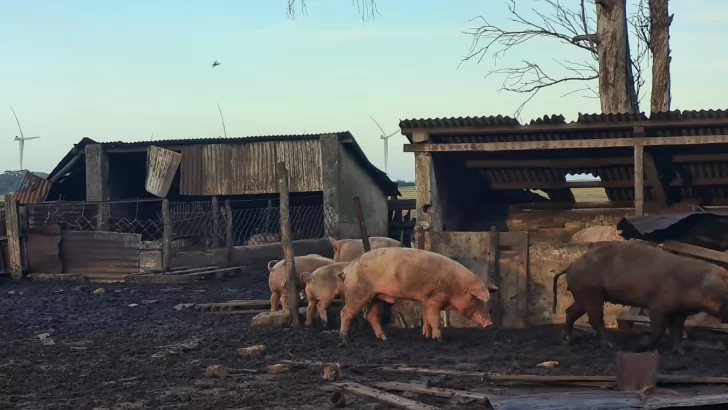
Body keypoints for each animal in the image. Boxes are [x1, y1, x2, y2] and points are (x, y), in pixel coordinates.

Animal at [336, 247, 498, 346]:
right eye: (477, 299)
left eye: (487, 301)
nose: (490, 323)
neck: (456, 286)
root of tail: (347, 269)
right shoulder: (434, 298)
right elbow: (434, 319)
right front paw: (441, 340)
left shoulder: (426, 300)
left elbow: (426, 318)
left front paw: (426, 336)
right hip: (358, 293)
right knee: (345, 312)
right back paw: (345, 341)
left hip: (376, 296)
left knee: (371, 316)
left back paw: (385, 339)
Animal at [552, 240, 728, 352]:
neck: (693, 284)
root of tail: (571, 266)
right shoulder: (657, 306)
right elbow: (660, 329)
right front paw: (641, 346)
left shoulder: (680, 312)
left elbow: (677, 331)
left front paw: (680, 352)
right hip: (591, 294)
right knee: (594, 319)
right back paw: (611, 345)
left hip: (582, 295)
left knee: (571, 311)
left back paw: (566, 340)